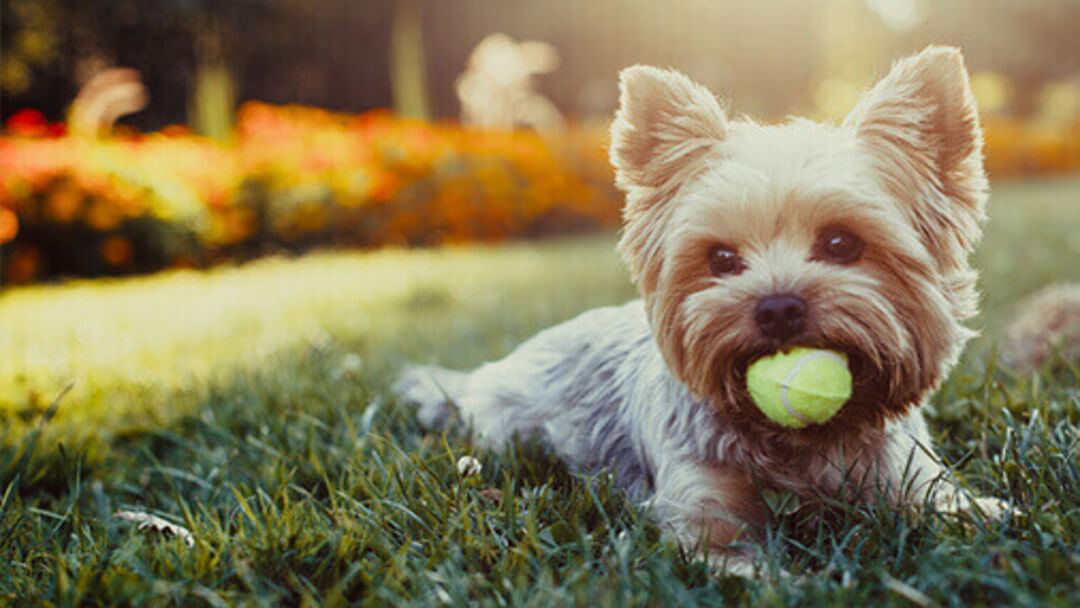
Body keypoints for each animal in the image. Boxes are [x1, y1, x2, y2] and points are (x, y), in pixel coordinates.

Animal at [395, 46, 1010, 574]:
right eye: (721, 258)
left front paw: (987, 513)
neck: (800, 443)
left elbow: (953, 507)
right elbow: (735, 560)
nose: (777, 307)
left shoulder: (905, 475)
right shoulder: (703, 510)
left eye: (841, 243)